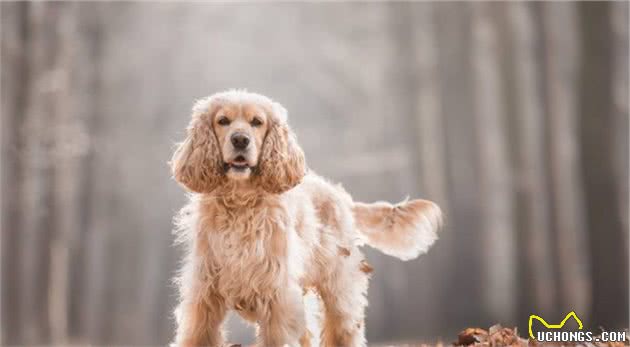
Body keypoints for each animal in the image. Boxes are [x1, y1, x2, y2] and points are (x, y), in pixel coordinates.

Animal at [170, 90, 442, 347]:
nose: (240, 140)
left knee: (345, 330)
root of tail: (341, 196)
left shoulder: (277, 295)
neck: (240, 203)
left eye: (257, 122)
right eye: (222, 121)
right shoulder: (204, 294)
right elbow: (197, 337)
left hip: (339, 289)